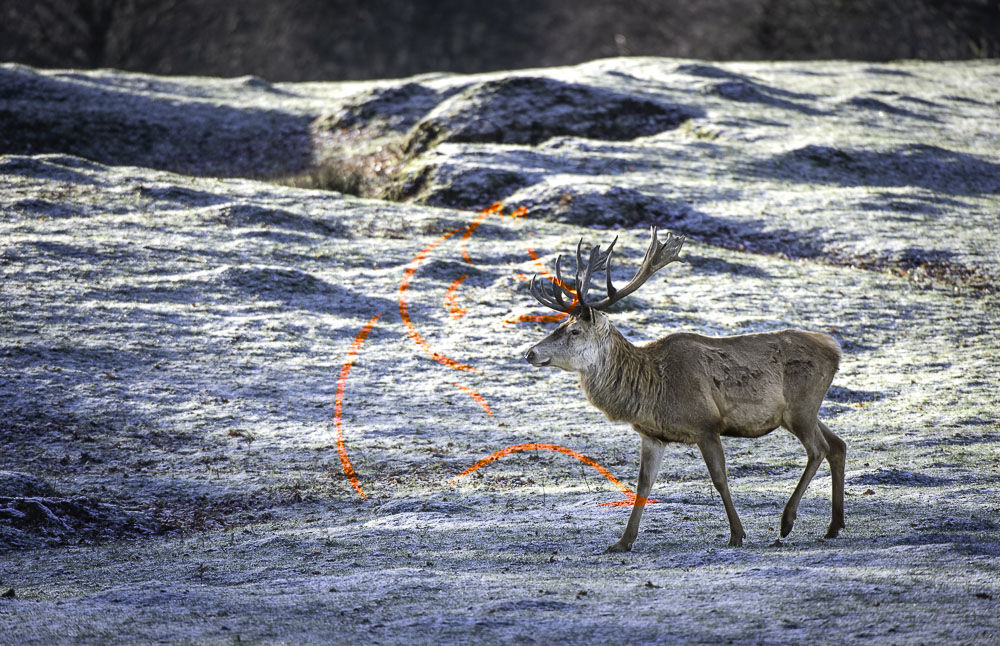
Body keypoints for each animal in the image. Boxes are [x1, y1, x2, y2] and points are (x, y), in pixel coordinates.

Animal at [522, 227, 845, 552]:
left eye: (574, 331)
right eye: (559, 325)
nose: (530, 353)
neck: (653, 389)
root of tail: (835, 349)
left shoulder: (706, 424)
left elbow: (719, 478)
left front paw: (736, 534)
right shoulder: (652, 435)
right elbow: (643, 485)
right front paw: (623, 541)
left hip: (801, 406)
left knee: (819, 448)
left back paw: (787, 521)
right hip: (801, 412)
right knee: (838, 445)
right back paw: (834, 525)